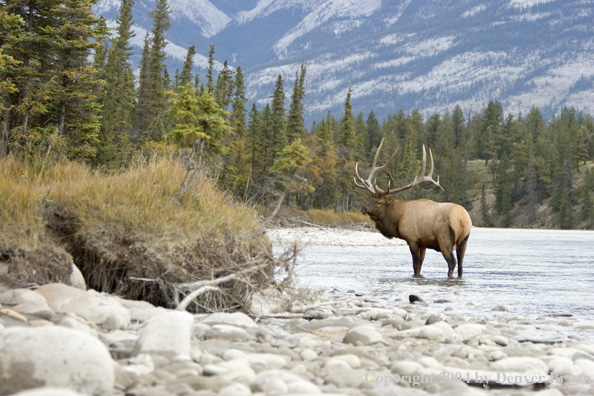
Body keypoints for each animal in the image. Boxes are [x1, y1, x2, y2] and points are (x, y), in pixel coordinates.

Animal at [352, 139, 472, 278]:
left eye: (380, 202)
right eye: (370, 198)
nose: (363, 208)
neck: (398, 218)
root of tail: (462, 219)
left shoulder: (412, 238)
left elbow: (415, 266)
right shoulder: (423, 242)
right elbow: (420, 266)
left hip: (445, 239)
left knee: (452, 263)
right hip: (464, 240)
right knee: (461, 265)